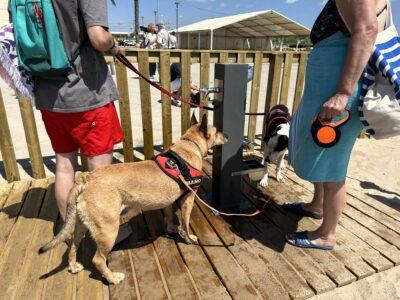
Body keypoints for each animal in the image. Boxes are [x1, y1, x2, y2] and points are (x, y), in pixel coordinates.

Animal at [41, 114, 230, 284]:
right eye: (217, 131)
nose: (227, 135)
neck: (189, 144)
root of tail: (86, 178)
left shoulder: (168, 201)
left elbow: (169, 215)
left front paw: (171, 228)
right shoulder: (188, 200)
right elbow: (185, 222)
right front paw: (188, 238)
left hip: (81, 224)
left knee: (74, 244)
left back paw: (73, 266)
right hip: (108, 230)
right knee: (98, 260)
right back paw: (112, 278)